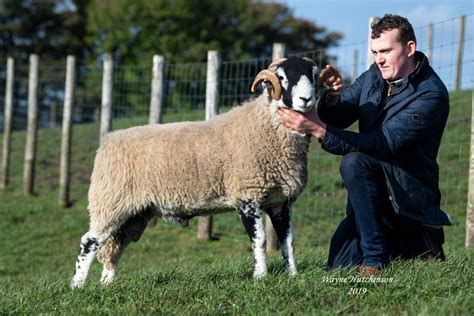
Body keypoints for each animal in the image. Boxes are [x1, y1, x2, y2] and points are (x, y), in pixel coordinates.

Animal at [70, 56, 320, 288]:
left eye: (314, 76)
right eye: (283, 77)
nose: (305, 100)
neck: (266, 125)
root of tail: (108, 141)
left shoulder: (280, 201)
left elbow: (288, 241)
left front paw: (293, 276)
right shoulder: (248, 197)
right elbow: (259, 242)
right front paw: (260, 278)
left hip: (133, 213)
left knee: (114, 246)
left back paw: (106, 285)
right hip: (111, 202)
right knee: (89, 241)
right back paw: (77, 287)